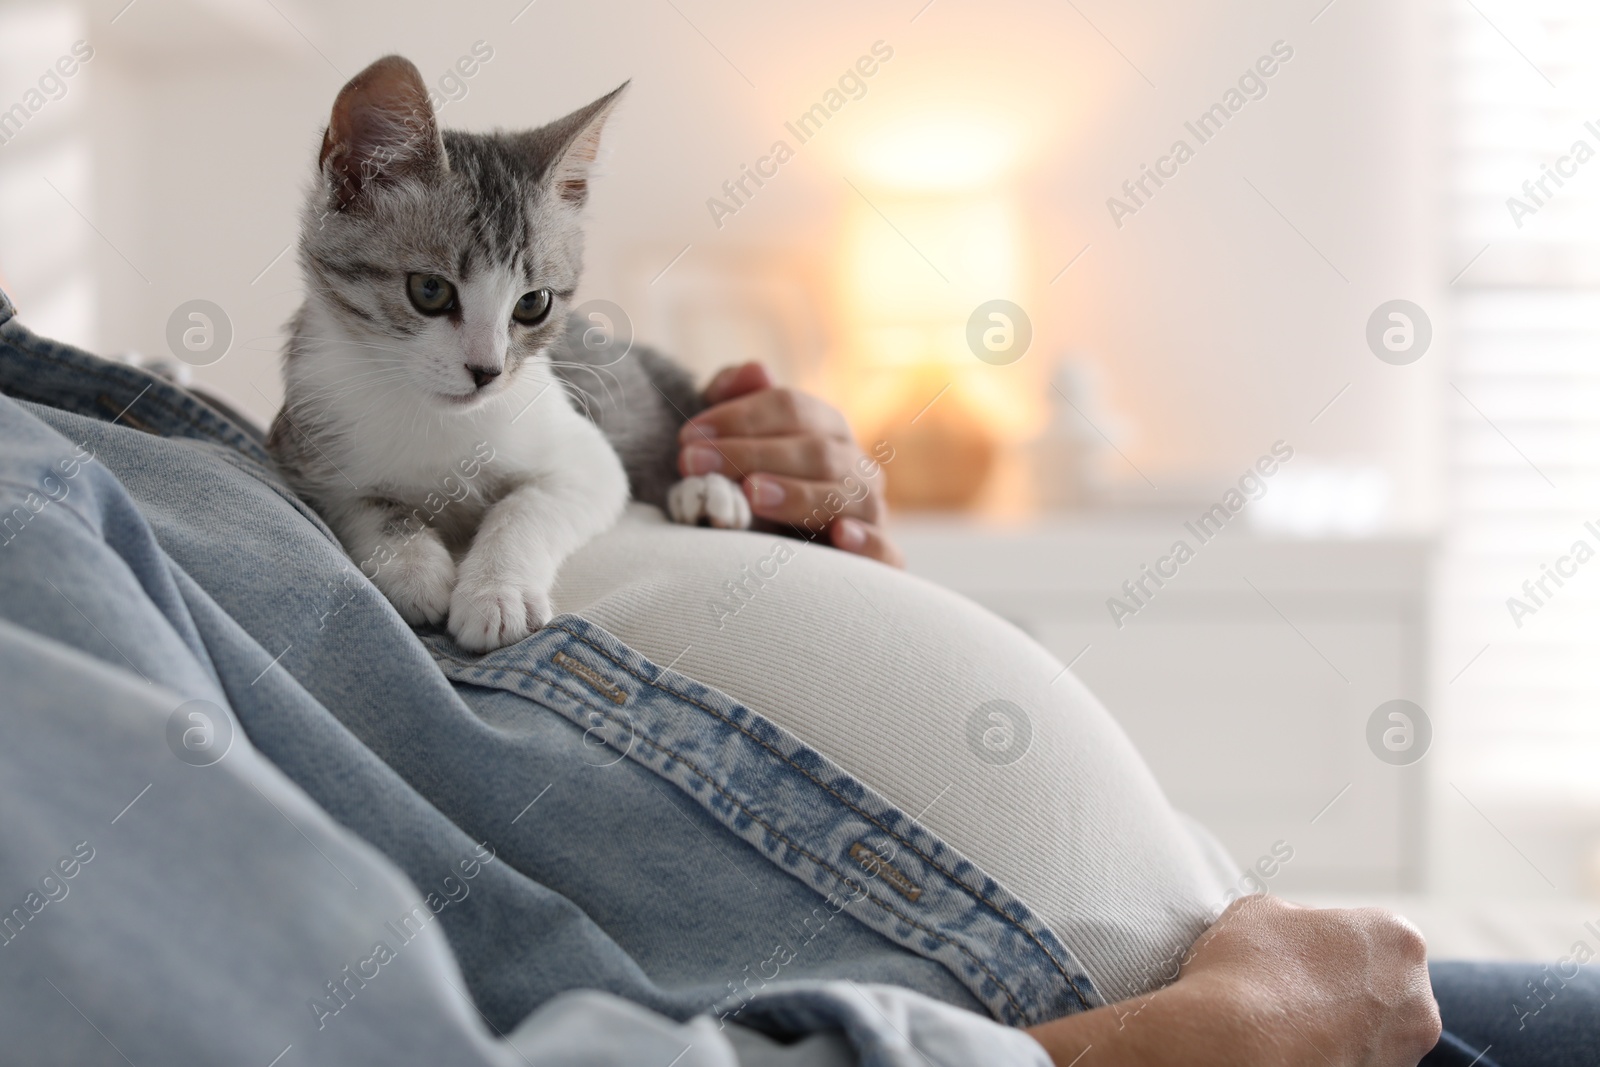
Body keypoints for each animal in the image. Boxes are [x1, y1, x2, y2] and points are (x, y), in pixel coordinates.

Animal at [268, 60, 748, 659]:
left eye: (533, 303)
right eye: (429, 290)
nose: (487, 371)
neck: (434, 418)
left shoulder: (587, 461)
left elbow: (525, 508)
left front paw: (497, 595)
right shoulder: (305, 454)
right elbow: (364, 504)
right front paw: (413, 567)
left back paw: (706, 492)